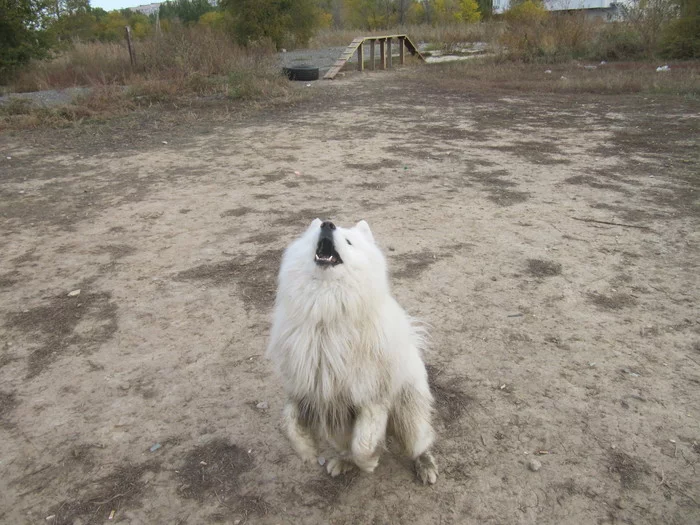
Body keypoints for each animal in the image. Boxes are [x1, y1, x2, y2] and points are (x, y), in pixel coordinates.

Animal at [266, 217, 438, 484]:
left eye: (348, 241)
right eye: (316, 233)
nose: (327, 224)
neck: (326, 313)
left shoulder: (372, 398)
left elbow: (363, 444)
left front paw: (369, 462)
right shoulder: (307, 390)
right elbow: (289, 423)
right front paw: (307, 449)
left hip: (409, 414)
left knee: (421, 441)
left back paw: (425, 464)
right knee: (345, 447)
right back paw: (343, 462)